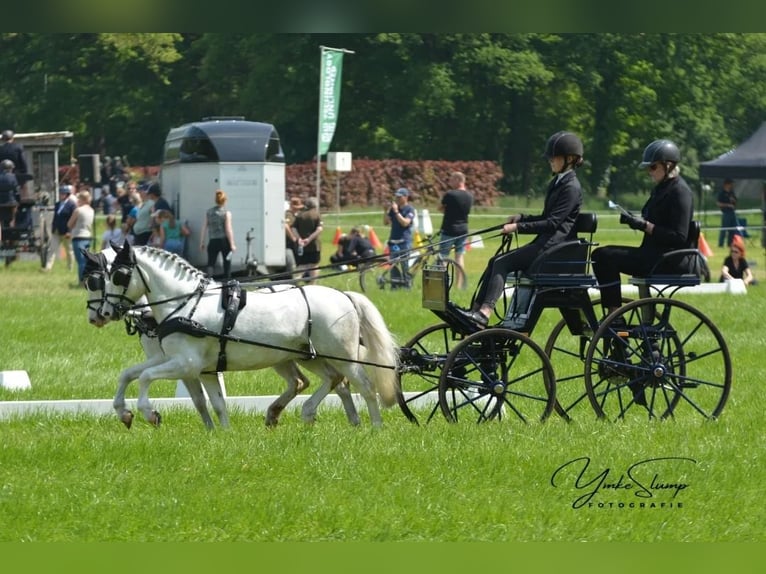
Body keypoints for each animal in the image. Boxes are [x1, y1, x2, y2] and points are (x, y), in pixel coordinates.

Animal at [97, 243, 402, 428]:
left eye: (119, 275)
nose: (105, 312)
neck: (187, 304)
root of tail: (344, 296)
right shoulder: (189, 365)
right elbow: (130, 374)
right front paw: (124, 412)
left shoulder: (187, 365)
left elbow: (146, 377)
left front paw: (150, 413)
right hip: (309, 356)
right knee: (332, 380)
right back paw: (308, 414)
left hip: (342, 356)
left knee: (365, 386)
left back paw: (374, 428)